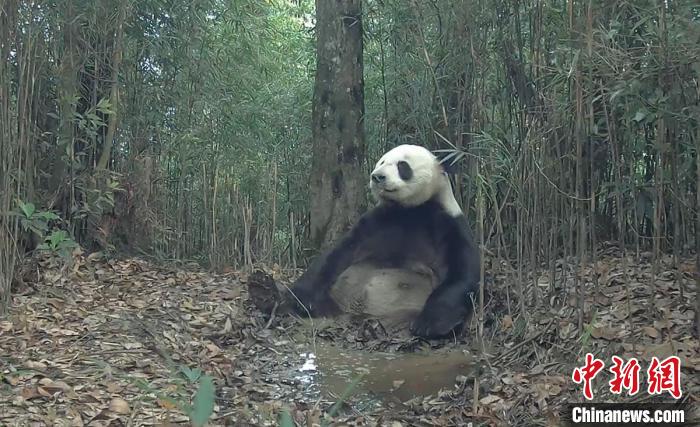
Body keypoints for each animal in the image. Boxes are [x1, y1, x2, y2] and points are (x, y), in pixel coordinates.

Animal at [290, 145, 482, 340]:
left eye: (402, 165)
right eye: (381, 162)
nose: (377, 176)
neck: (409, 209)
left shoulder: (447, 224)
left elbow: (462, 273)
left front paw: (429, 324)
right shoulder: (377, 222)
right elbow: (338, 253)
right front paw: (303, 298)